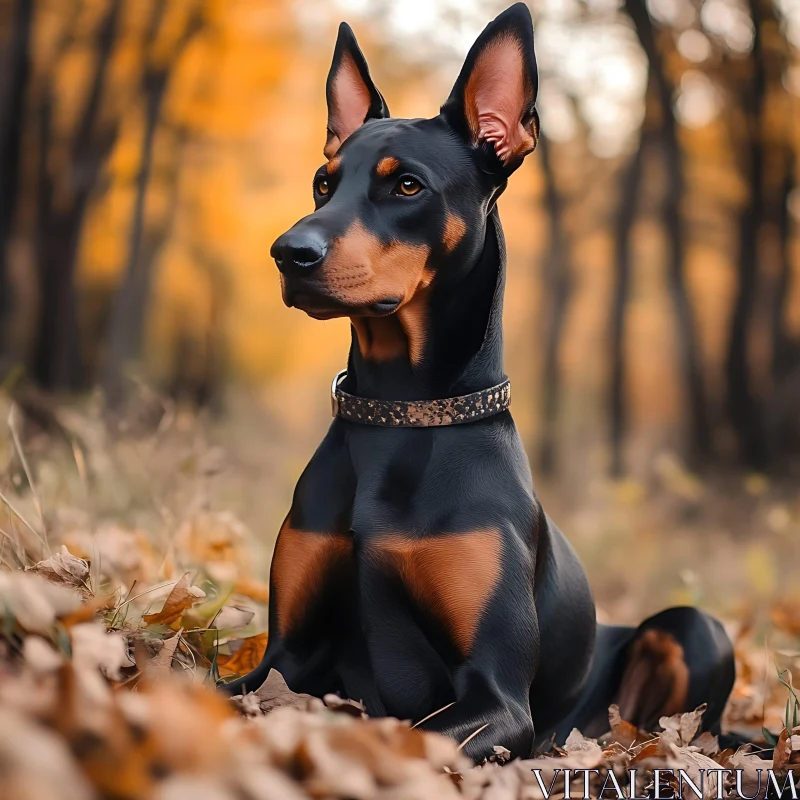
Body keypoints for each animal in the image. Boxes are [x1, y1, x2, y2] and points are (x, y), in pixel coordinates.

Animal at [220, 3, 736, 760]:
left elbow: (409, 734)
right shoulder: (283, 656)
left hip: (694, 626)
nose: (289, 253)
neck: (401, 413)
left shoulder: (497, 697)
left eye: (406, 185)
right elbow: (210, 684)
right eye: (323, 182)